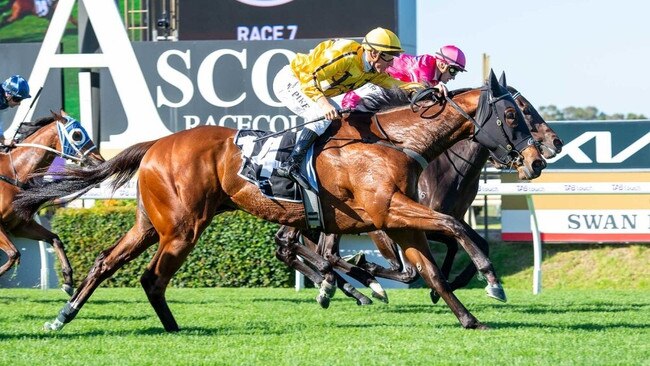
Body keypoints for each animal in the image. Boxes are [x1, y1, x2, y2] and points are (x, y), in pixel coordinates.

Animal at [0, 111, 102, 294]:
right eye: (77, 135)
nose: (99, 159)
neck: (13, 172)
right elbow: (14, 254)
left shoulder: (19, 226)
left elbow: (55, 239)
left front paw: (68, 282)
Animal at [12, 71, 544, 332]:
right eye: (514, 115)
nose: (539, 159)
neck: (395, 139)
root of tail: (157, 144)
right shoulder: (386, 211)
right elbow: (456, 230)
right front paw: (492, 280)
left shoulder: (396, 219)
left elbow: (428, 268)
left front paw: (469, 318)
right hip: (181, 228)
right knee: (152, 277)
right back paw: (172, 327)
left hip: (149, 223)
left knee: (106, 262)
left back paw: (63, 316)